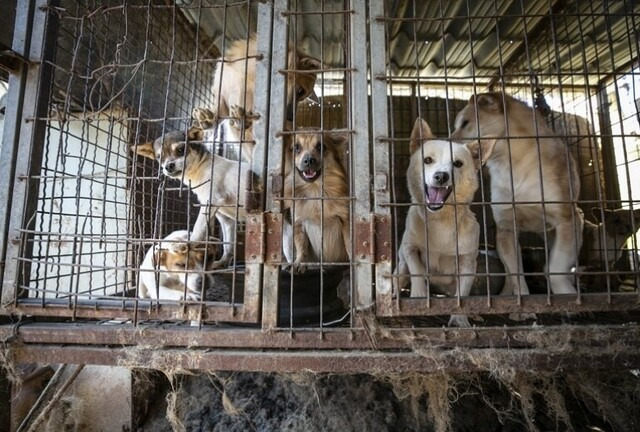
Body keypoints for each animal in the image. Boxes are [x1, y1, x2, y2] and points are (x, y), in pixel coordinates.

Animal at [133, 126, 248, 268]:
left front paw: (187, 244)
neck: (201, 168)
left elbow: (198, 229)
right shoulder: (226, 219)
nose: (168, 166)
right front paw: (222, 263)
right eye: (159, 157)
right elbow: (228, 246)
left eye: (181, 150)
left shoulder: (210, 203)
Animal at [190, 33, 320, 161]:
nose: (290, 119)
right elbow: (218, 112)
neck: (247, 77)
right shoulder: (223, 97)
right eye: (300, 91)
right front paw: (207, 119)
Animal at [284, 128, 352, 274]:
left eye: (321, 147)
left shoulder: (345, 220)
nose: (309, 160)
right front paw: (299, 262)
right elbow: (301, 246)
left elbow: (349, 243)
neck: (314, 189)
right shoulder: (298, 223)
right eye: (296, 148)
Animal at [396, 118, 496, 328]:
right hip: (400, 267)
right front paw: (419, 295)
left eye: (457, 164)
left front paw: (459, 319)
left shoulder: (467, 264)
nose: (441, 176)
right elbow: (417, 271)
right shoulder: (409, 248)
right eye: (427, 160)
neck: (440, 220)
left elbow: (462, 296)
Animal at [450, 92, 584, 296]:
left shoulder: (568, 220)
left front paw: (566, 292)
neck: (512, 167)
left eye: (465, 123)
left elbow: (554, 269)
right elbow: (516, 275)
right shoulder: (506, 228)